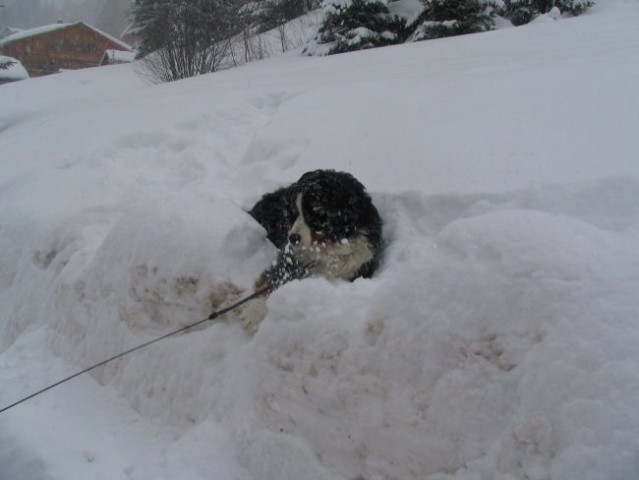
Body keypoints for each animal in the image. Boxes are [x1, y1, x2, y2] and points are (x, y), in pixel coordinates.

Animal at [239, 170, 380, 334]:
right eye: (294, 213)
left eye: (313, 214)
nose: (292, 238)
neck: (327, 250)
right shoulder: (288, 261)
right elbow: (271, 284)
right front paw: (253, 314)